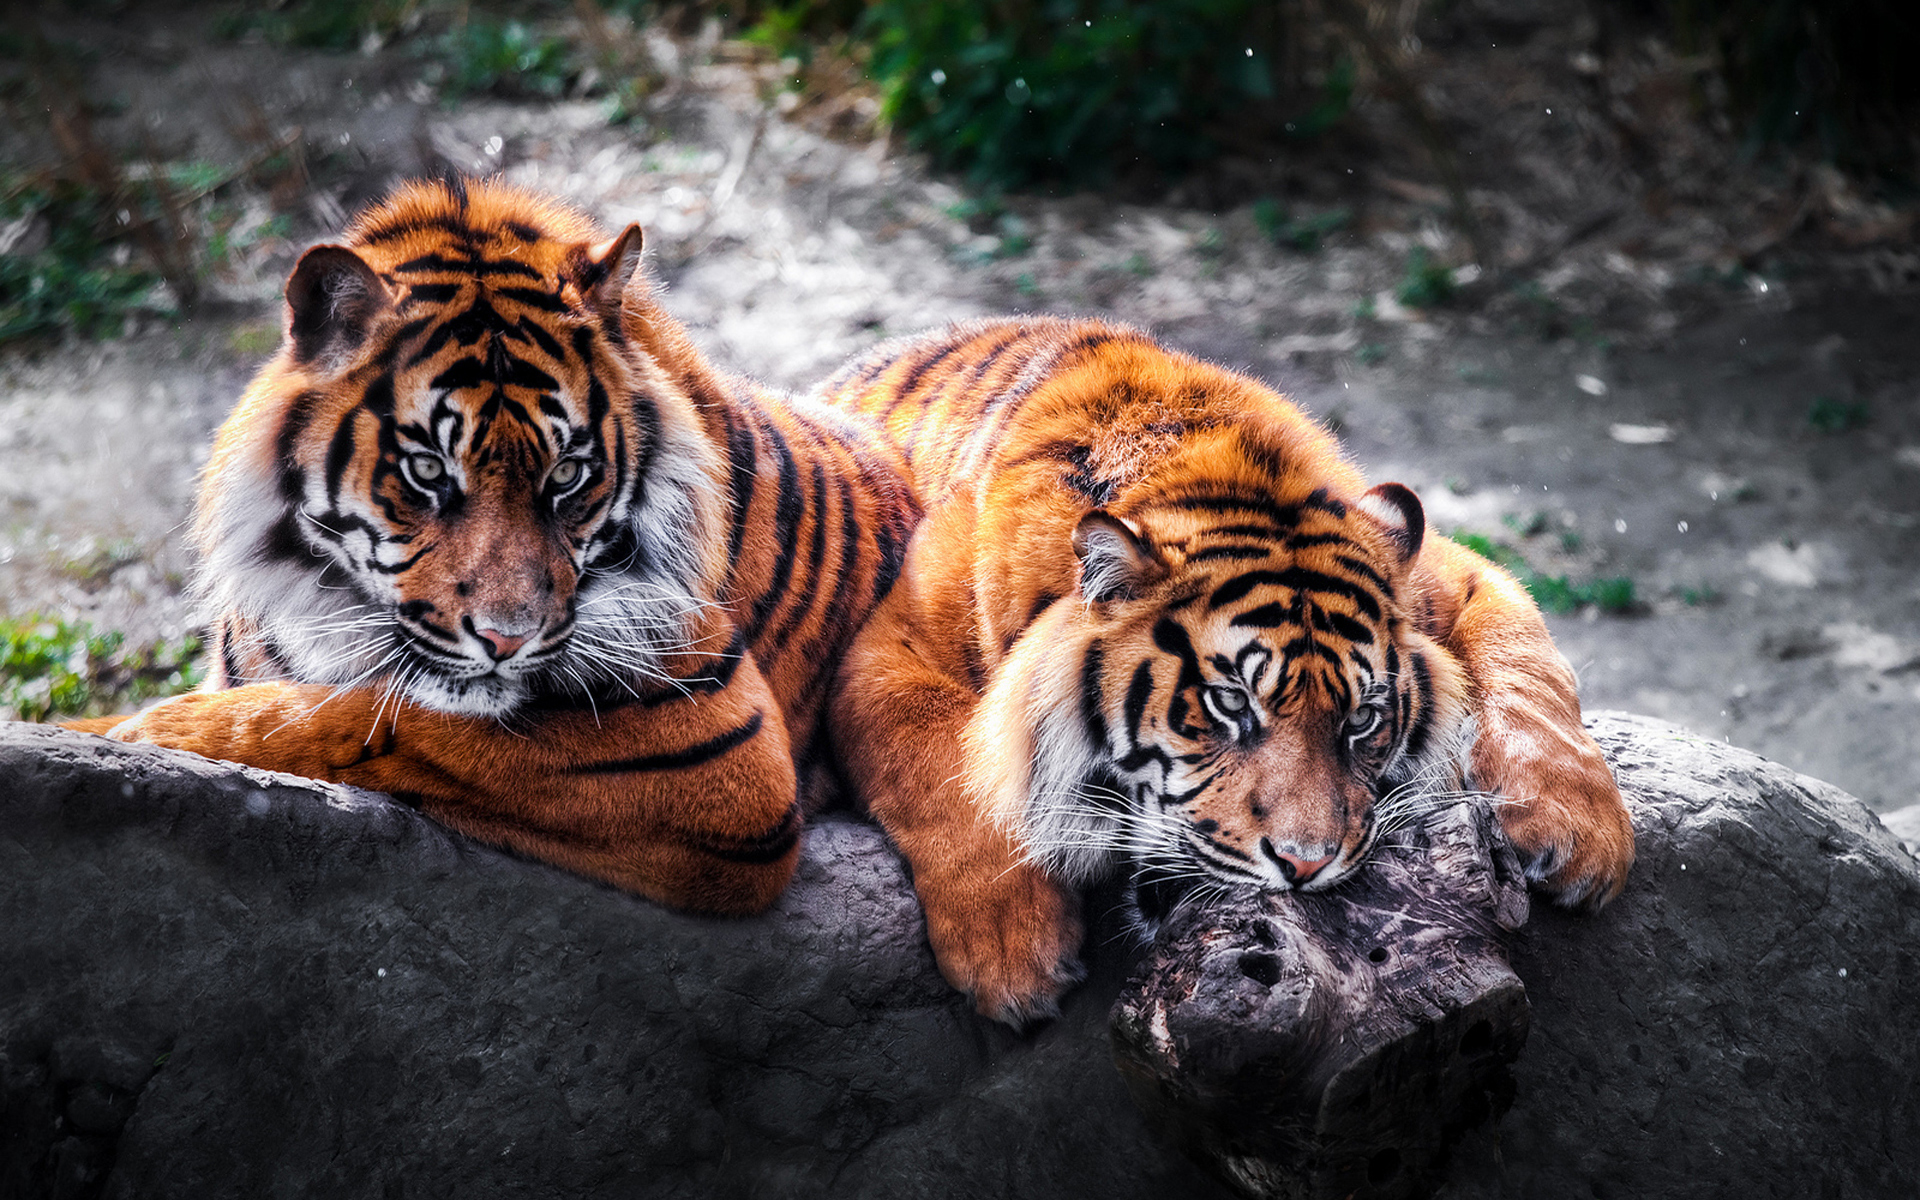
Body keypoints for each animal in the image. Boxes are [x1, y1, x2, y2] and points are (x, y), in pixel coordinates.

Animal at [63, 175, 917, 906]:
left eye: (568, 474)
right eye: (427, 470)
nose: (508, 640)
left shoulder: (718, 742)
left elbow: (370, 718)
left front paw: (157, 728)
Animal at [817, 316, 1643, 1021]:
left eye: (1363, 720)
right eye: (1228, 705)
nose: (1305, 866)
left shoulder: (1453, 574)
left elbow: (1528, 663)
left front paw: (1579, 834)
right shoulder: (882, 650)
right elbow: (949, 767)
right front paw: (1014, 955)